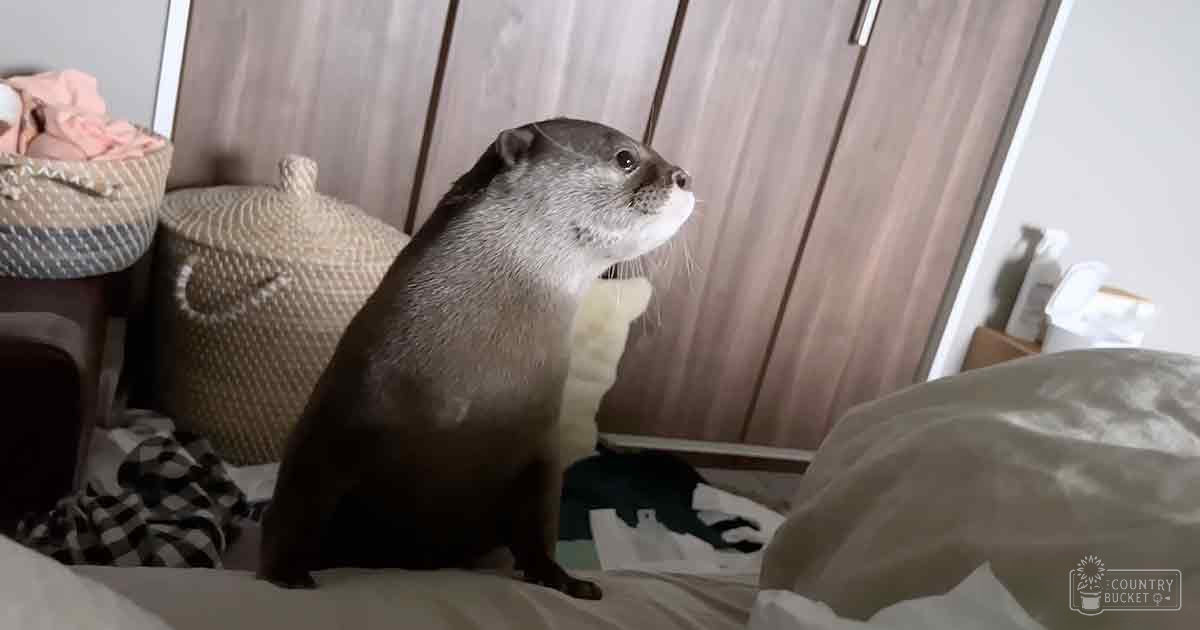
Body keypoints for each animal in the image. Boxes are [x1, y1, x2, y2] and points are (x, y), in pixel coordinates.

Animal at [259, 118, 693, 600]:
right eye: (626, 157)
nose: (684, 177)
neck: (464, 398)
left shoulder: (542, 451)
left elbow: (540, 526)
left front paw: (566, 581)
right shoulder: (334, 420)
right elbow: (298, 504)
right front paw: (287, 573)